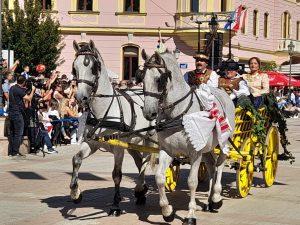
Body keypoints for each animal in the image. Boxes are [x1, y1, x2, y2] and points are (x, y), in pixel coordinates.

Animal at [70, 40, 155, 216]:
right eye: (74, 68)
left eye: (93, 67)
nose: (80, 97)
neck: (104, 111)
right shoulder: (92, 143)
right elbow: (76, 159)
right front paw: (75, 193)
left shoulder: (118, 148)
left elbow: (117, 175)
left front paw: (115, 205)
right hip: (133, 142)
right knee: (139, 162)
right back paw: (141, 191)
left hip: (150, 139)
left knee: (145, 160)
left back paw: (140, 188)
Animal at [137, 50, 236, 224]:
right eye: (142, 78)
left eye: (159, 79)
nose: (149, 113)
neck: (178, 113)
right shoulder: (167, 150)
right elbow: (159, 178)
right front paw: (167, 211)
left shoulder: (195, 153)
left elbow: (192, 182)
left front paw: (190, 214)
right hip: (207, 147)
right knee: (212, 166)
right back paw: (209, 201)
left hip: (223, 141)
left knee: (220, 165)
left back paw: (216, 197)